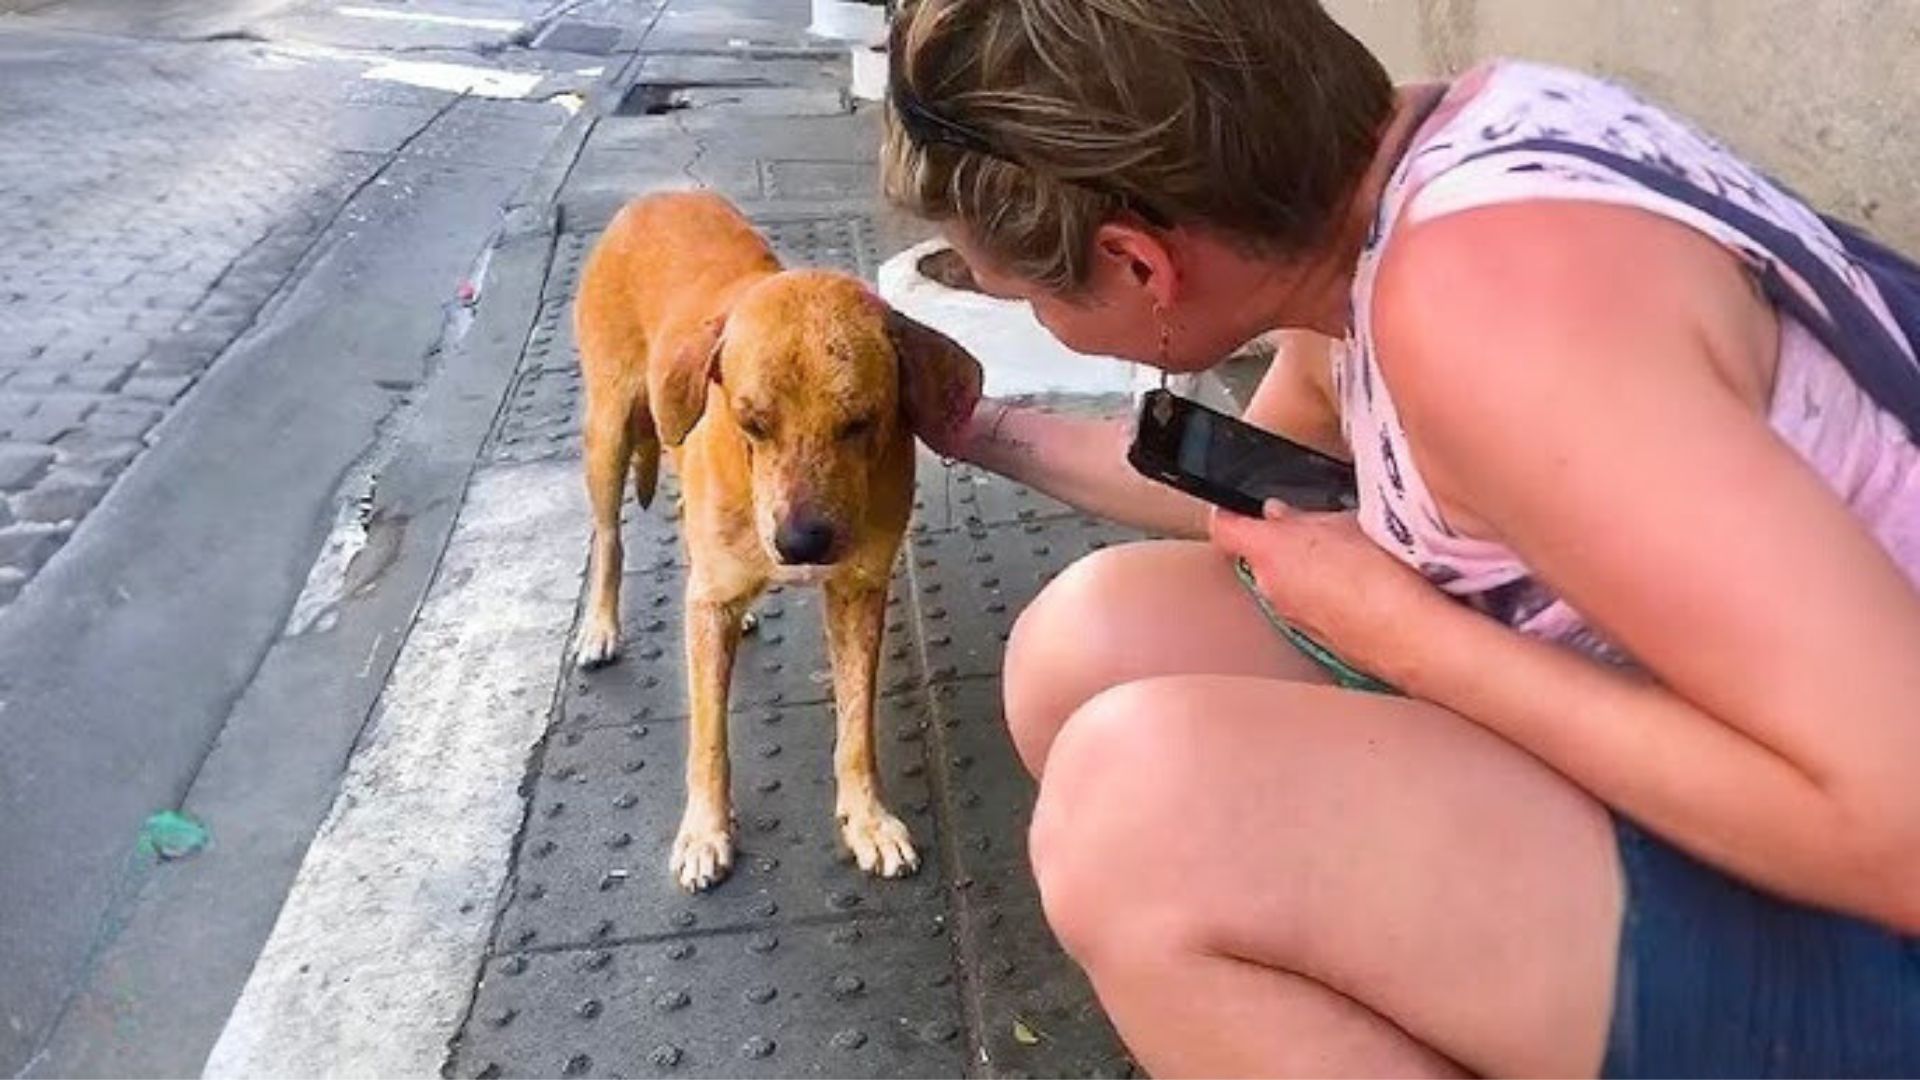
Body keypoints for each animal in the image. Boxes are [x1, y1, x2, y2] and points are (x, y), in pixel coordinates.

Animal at [572, 193, 975, 891]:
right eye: (751, 422)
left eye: (860, 423)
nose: (802, 541)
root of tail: (656, 194)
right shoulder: (709, 607)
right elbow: (708, 735)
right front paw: (705, 831)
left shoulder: (859, 592)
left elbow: (856, 726)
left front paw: (867, 817)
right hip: (608, 432)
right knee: (609, 535)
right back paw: (600, 624)